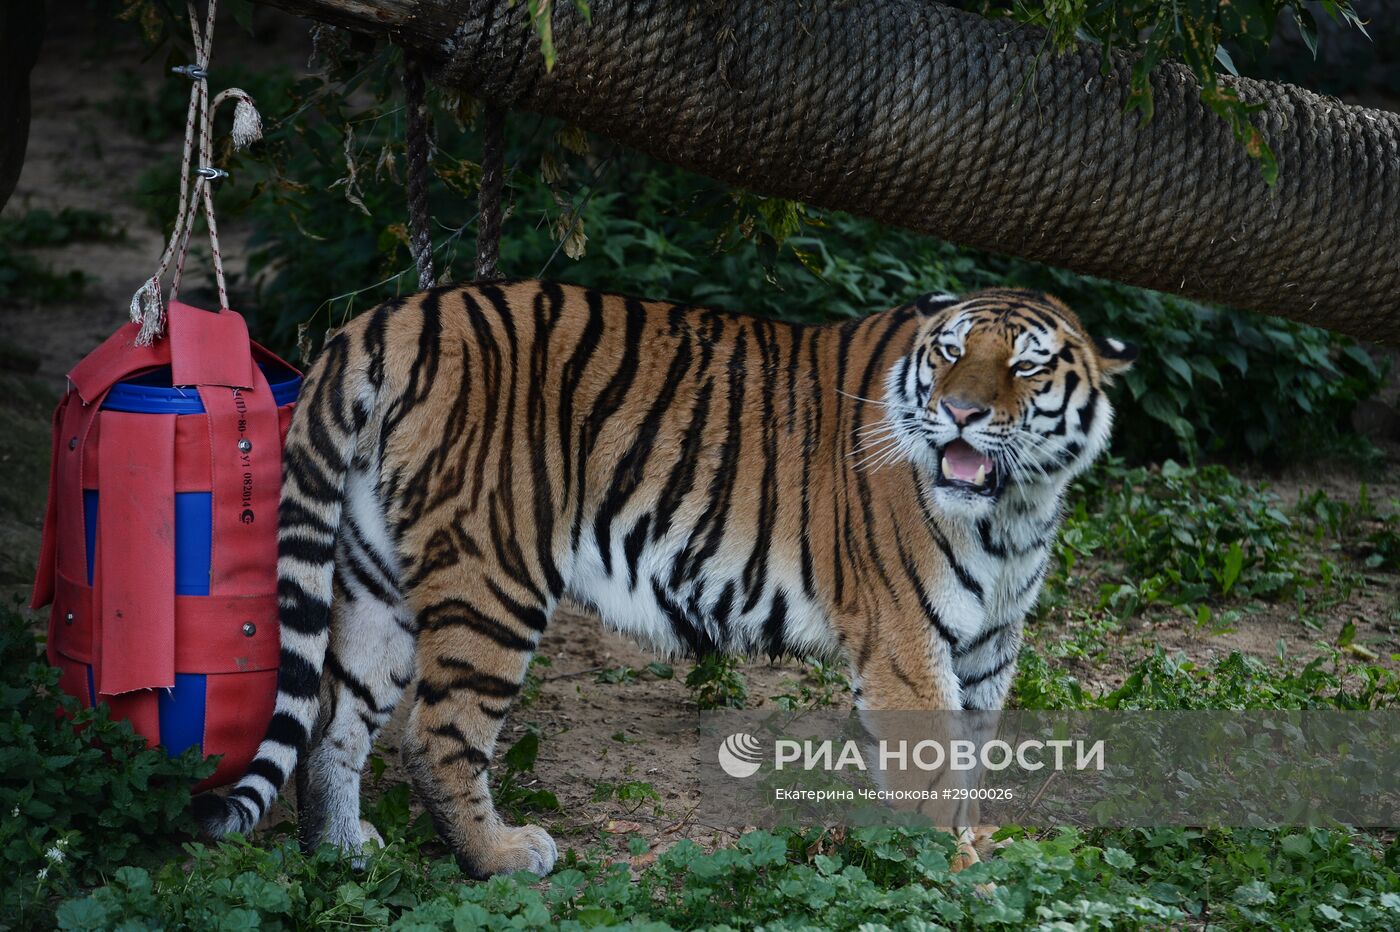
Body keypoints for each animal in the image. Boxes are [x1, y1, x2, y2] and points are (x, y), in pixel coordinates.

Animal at [191, 279, 1131, 873]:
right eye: (948, 354)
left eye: (1026, 366)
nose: (960, 412)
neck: (1016, 508)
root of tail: (388, 317)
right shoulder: (906, 647)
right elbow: (934, 779)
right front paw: (959, 879)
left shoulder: (988, 647)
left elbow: (971, 765)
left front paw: (971, 850)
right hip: (496, 574)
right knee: (435, 735)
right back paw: (502, 858)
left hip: (377, 574)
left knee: (333, 721)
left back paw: (342, 850)